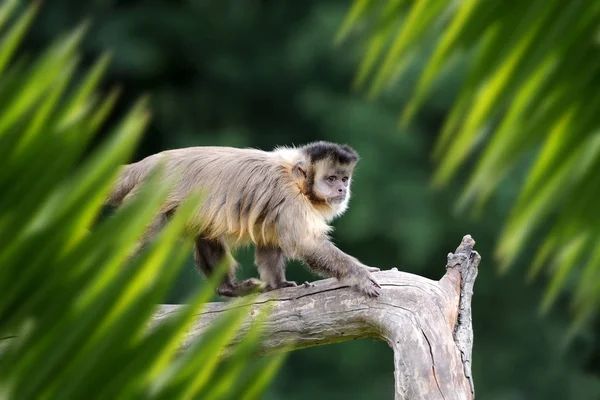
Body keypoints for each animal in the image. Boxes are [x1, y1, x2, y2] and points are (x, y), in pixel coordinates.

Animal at [107, 142, 380, 298]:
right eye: (331, 179)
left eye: (344, 179)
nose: (342, 190)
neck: (295, 179)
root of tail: (145, 165)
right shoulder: (289, 197)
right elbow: (307, 243)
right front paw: (359, 274)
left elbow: (270, 244)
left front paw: (278, 284)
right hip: (148, 201)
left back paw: (228, 288)